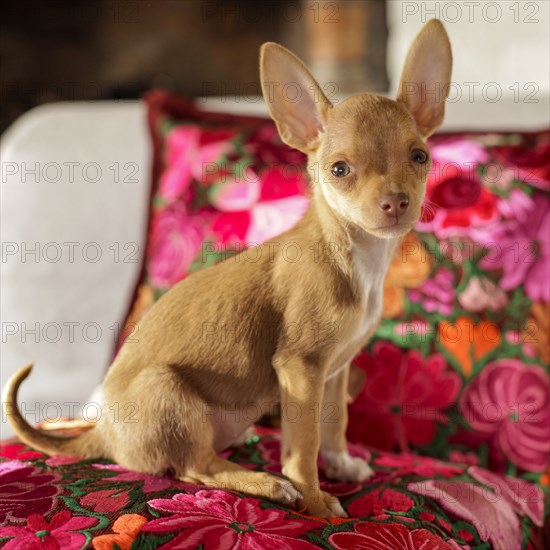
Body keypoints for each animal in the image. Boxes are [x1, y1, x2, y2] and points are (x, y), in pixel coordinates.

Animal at [3, 19, 452, 520]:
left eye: (419, 157)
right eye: (339, 169)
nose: (395, 202)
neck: (355, 255)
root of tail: (104, 433)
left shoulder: (335, 370)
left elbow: (335, 423)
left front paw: (341, 462)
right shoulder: (301, 370)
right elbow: (302, 447)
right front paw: (315, 500)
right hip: (170, 390)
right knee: (195, 469)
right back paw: (266, 483)